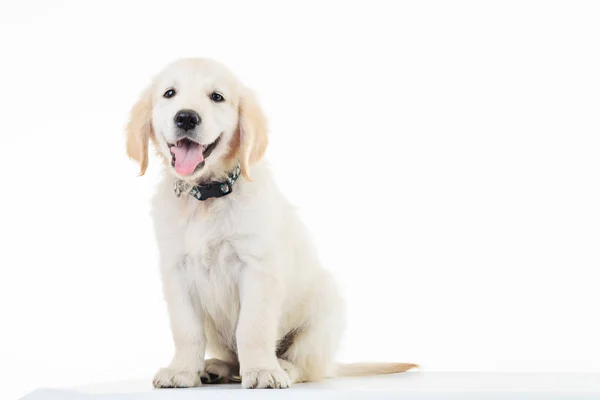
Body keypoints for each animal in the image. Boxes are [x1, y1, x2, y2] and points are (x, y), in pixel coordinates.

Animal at [125, 57, 418, 390]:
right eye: (169, 93)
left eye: (217, 97)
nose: (186, 117)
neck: (207, 197)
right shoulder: (177, 271)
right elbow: (186, 330)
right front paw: (182, 371)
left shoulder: (258, 268)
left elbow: (252, 328)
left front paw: (263, 370)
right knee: (232, 358)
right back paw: (214, 367)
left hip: (324, 312)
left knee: (308, 365)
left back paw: (282, 366)